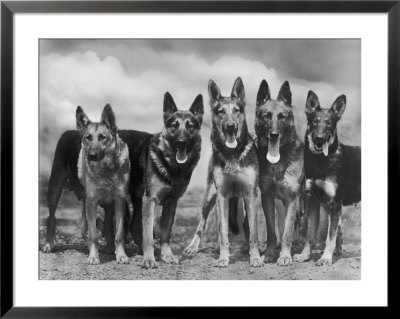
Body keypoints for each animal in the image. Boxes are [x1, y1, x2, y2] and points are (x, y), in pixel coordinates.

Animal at [75, 105, 130, 264]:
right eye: (88, 138)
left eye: (102, 137)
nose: (92, 155)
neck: (106, 170)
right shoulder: (92, 202)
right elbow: (93, 235)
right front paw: (93, 256)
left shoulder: (119, 201)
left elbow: (119, 234)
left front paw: (121, 255)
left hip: (110, 207)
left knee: (107, 229)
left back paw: (111, 248)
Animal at [141, 93, 203, 270]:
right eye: (174, 126)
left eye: (190, 126)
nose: (181, 142)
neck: (172, 167)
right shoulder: (149, 201)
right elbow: (148, 234)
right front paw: (149, 259)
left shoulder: (171, 203)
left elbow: (166, 233)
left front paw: (167, 256)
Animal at [182, 77, 262, 268]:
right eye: (221, 112)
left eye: (236, 110)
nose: (230, 126)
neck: (232, 153)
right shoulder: (222, 196)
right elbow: (222, 231)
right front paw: (223, 258)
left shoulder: (250, 195)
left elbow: (253, 232)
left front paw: (255, 257)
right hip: (210, 197)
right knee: (202, 223)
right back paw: (193, 246)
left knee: (246, 226)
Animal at [255, 80, 304, 268]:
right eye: (267, 116)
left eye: (282, 116)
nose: (274, 135)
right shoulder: (267, 197)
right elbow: (272, 231)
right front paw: (269, 254)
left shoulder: (292, 199)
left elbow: (288, 232)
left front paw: (284, 256)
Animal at [292, 91, 360, 266]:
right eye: (315, 121)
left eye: (329, 123)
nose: (319, 139)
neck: (320, 162)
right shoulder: (313, 201)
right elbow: (310, 235)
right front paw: (304, 255)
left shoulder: (335, 205)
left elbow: (330, 237)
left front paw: (325, 258)